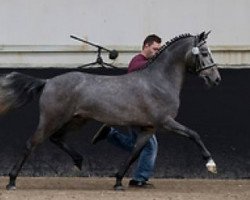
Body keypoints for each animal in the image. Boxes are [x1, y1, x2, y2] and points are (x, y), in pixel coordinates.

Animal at [0, 31, 220, 191]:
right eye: (204, 53)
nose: (216, 79)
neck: (159, 81)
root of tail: (47, 81)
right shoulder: (165, 122)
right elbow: (193, 134)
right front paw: (210, 164)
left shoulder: (149, 128)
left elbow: (134, 153)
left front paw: (118, 182)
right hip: (51, 119)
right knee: (31, 143)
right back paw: (11, 182)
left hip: (77, 120)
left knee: (57, 138)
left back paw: (79, 160)